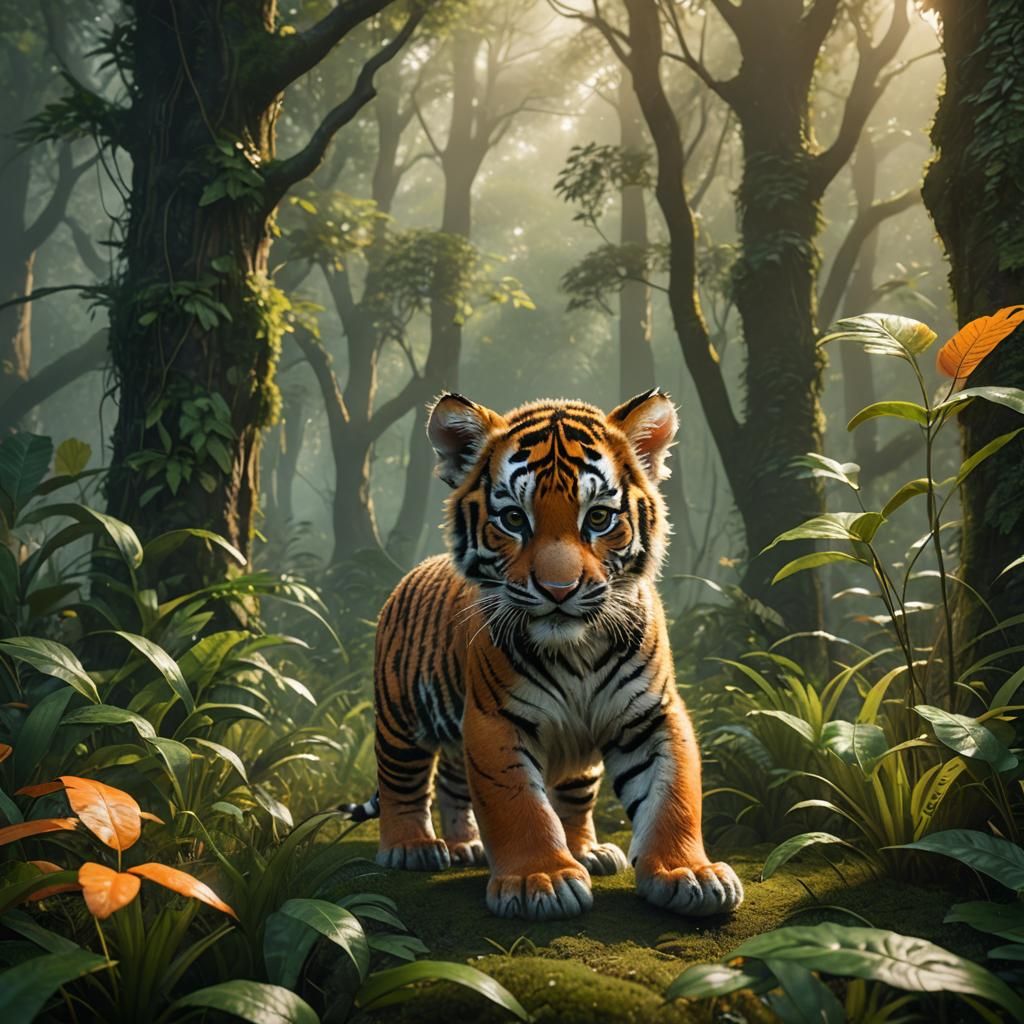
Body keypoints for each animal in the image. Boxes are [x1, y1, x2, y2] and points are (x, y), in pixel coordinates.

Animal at [346, 388, 743, 921]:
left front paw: (689, 873)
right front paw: (541, 880)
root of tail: (410, 573)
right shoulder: (494, 721)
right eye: (514, 518)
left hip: (564, 761)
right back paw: (412, 847)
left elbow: (672, 794)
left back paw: (525, 848)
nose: (558, 590)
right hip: (399, 717)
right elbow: (519, 805)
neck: (578, 650)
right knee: (403, 780)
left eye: (598, 518)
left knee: (489, 787)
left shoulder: (653, 714)